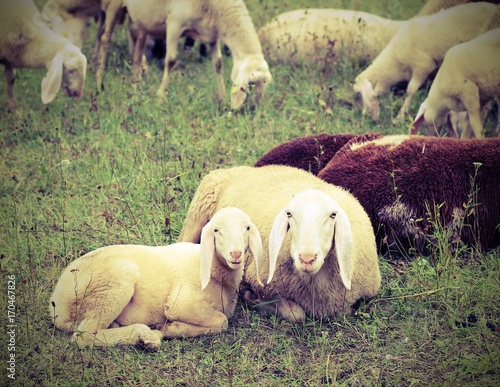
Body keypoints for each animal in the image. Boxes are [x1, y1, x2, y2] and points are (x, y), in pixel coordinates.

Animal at [48, 209, 264, 352]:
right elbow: (222, 321)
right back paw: (143, 335)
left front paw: (170, 329)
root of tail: (56, 305)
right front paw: (169, 328)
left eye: (247, 228)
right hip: (112, 285)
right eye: (216, 230)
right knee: (82, 336)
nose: (235, 254)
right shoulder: (180, 304)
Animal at [124, 0, 274, 110]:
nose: (253, 110)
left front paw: (222, 99)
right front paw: (160, 96)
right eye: (250, 84)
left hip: (142, 22)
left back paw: (136, 82)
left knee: (138, 47)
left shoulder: (212, 35)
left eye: (264, 85)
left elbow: (218, 63)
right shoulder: (174, 23)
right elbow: (171, 60)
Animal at [178, 165, 380, 322]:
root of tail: (248, 168)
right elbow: (296, 313)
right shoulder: (260, 278)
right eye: (289, 214)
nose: (307, 258)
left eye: (333, 215)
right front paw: (253, 298)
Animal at [352, 1, 500, 121]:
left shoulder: (423, 65)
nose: (364, 116)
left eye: (358, 94)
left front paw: (400, 115)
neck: (395, 63)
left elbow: (410, 90)